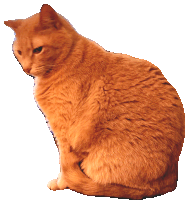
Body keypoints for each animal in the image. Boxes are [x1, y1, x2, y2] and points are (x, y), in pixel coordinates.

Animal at [4, 3, 185, 199]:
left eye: (38, 50)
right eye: (19, 52)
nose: (26, 68)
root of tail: (171, 176)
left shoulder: (64, 132)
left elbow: (64, 163)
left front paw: (61, 183)